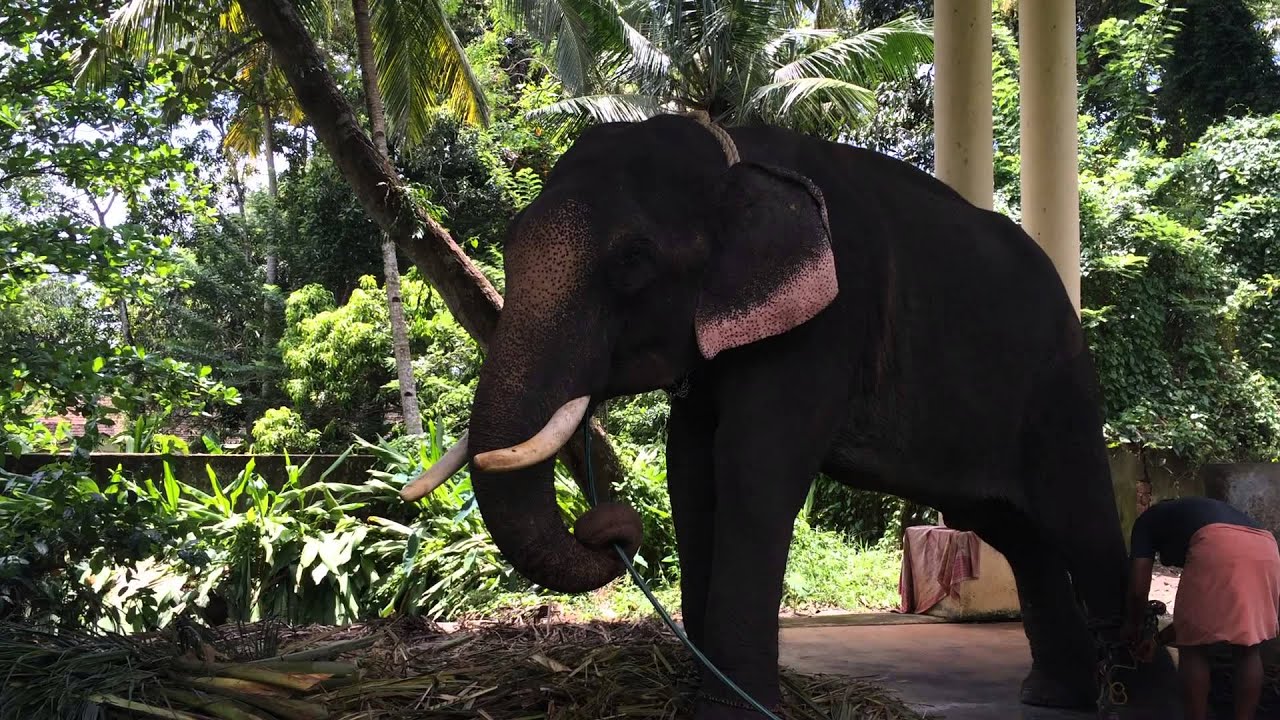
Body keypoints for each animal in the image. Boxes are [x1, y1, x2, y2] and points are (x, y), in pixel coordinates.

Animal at [403, 113, 1179, 718]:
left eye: (632, 262)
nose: (609, 526)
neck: (732, 155)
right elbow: (691, 473)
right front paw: (697, 695)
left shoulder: (829, 318)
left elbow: (754, 466)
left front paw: (731, 712)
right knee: (1012, 530)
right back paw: (1056, 698)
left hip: (1059, 381)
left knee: (1077, 516)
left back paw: (1141, 699)